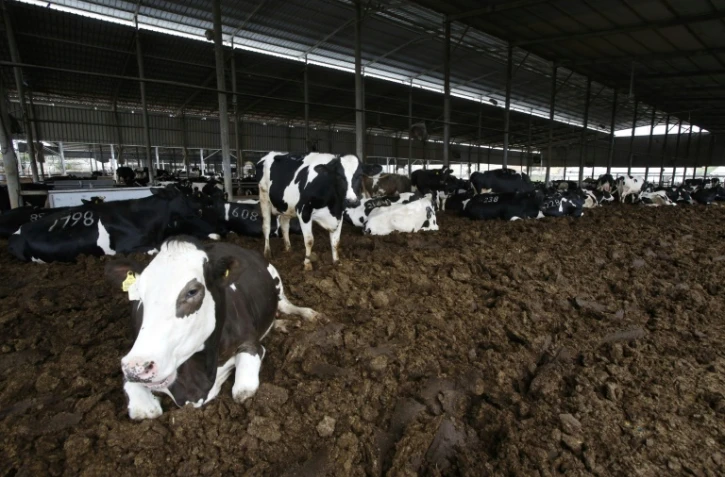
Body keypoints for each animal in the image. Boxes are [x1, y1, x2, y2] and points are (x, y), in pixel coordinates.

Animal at [104, 237, 319, 420]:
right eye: (138, 295)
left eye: (192, 291)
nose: (138, 367)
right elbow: (144, 410)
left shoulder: (250, 343)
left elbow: (242, 391)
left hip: (275, 277)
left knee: (285, 304)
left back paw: (306, 315)